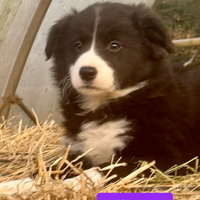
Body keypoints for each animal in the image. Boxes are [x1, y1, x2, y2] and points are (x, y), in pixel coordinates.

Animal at [45, 2, 200, 181]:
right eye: (78, 45)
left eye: (114, 45)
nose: (86, 72)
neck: (104, 107)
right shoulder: (78, 149)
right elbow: (57, 167)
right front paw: (28, 181)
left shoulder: (161, 157)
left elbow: (104, 170)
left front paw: (73, 183)